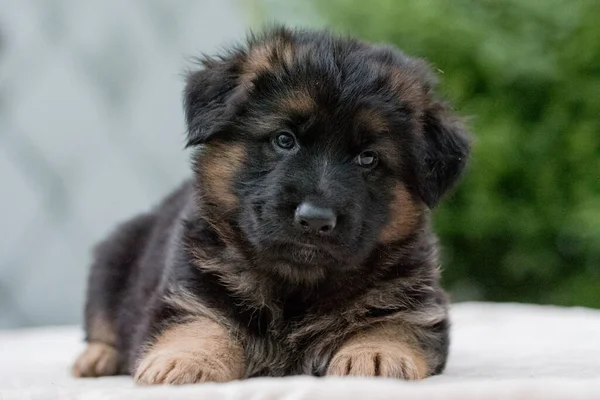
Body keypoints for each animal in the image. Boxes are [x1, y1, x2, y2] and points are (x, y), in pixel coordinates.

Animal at [72, 25, 472, 384]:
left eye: (369, 158)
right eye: (284, 139)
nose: (315, 220)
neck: (297, 283)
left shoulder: (416, 300)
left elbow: (392, 321)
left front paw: (375, 353)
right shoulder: (189, 289)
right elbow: (202, 322)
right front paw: (187, 358)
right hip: (114, 257)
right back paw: (97, 357)